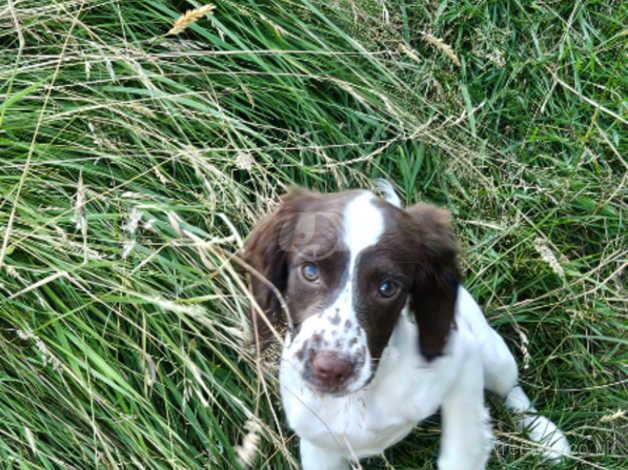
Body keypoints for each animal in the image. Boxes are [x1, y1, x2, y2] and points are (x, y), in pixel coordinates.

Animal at [244, 183, 568, 470]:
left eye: (387, 288)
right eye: (310, 271)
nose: (331, 369)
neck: (362, 395)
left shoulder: (462, 361)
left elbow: (461, 450)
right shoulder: (319, 446)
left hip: (493, 356)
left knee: (512, 392)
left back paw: (546, 436)